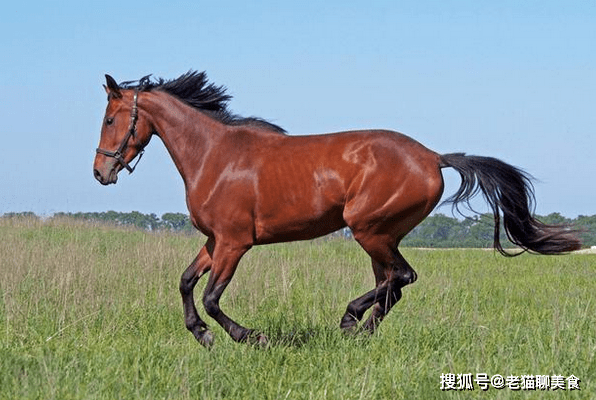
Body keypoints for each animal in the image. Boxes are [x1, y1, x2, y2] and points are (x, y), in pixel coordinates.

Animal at [93, 70, 584, 346]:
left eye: (110, 119)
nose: (101, 172)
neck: (214, 155)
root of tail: (432, 157)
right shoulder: (215, 241)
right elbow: (185, 282)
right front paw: (201, 335)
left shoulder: (234, 243)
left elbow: (213, 298)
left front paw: (249, 337)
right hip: (380, 236)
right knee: (392, 284)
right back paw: (360, 331)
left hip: (369, 229)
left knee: (401, 278)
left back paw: (351, 321)